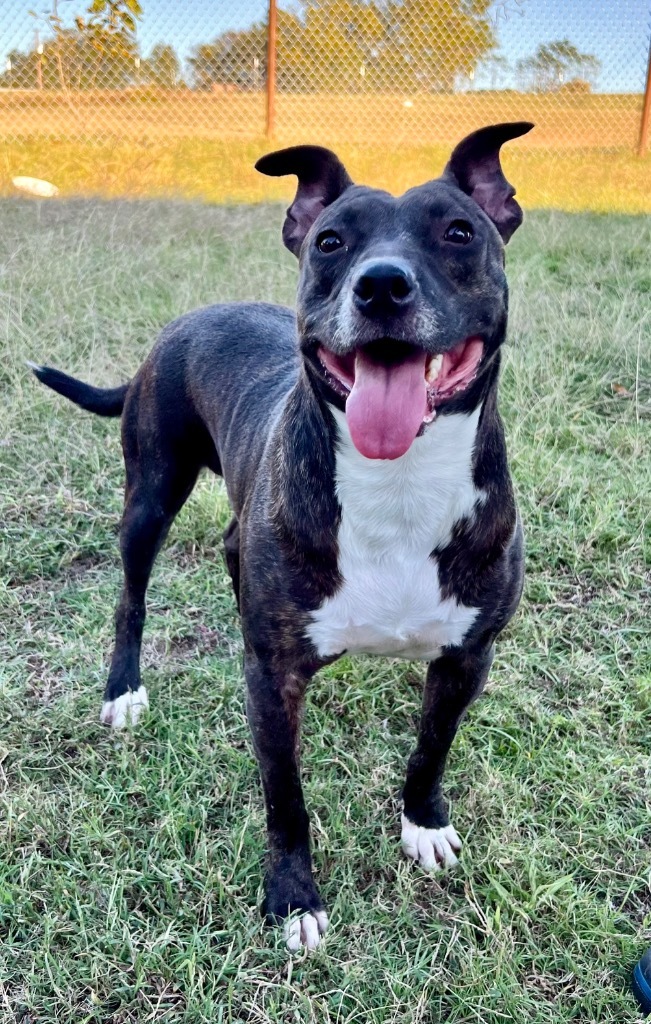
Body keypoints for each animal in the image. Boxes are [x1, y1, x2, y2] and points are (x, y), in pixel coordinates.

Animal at [29, 123, 528, 954]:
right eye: (330, 242)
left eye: (458, 233)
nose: (381, 285)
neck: (397, 483)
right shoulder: (270, 682)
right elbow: (284, 795)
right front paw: (293, 896)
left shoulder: (467, 656)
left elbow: (431, 748)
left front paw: (422, 823)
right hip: (150, 493)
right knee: (131, 595)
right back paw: (123, 690)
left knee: (231, 542)